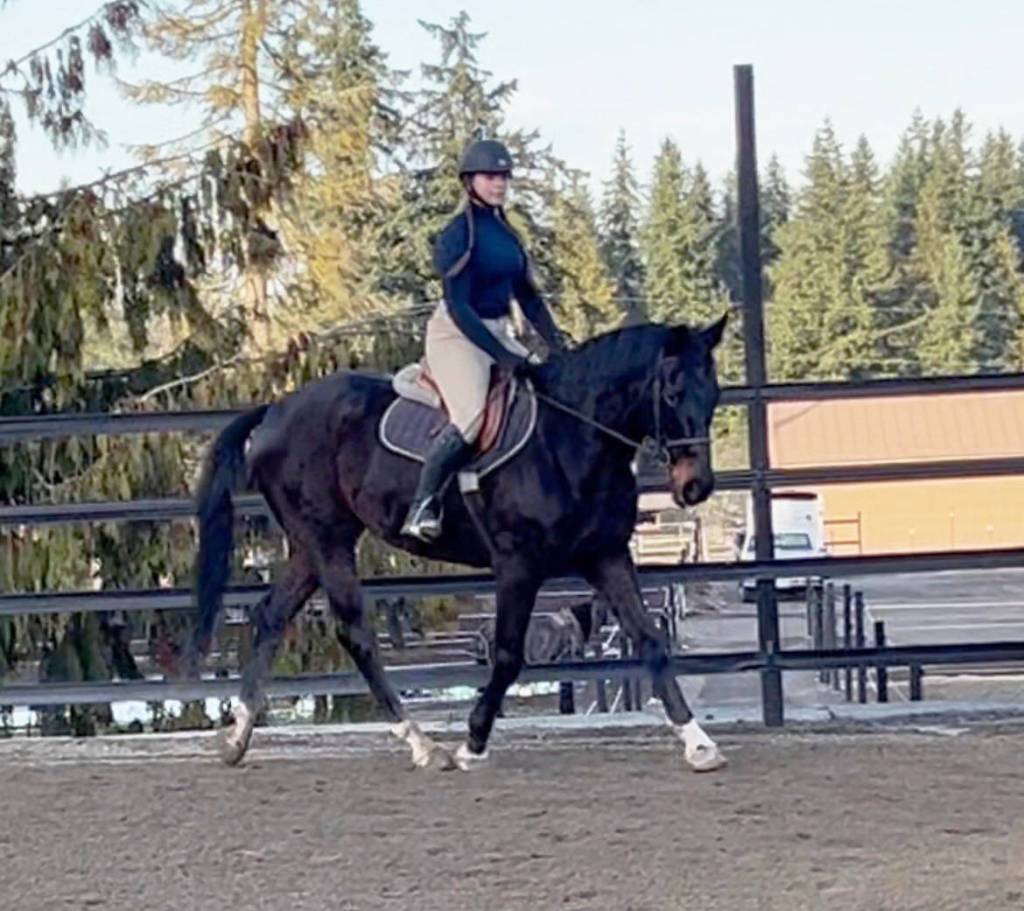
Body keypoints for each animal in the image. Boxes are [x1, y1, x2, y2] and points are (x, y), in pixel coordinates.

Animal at [188, 314, 729, 772]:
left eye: (715, 393)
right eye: (673, 393)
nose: (696, 487)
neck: (570, 436)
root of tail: (275, 410)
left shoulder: (606, 555)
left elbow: (651, 639)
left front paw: (699, 743)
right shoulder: (517, 564)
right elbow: (509, 656)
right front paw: (473, 742)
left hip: (310, 545)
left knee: (271, 617)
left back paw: (238, 738)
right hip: (328, 541)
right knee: (356, 634)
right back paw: (423, 746)